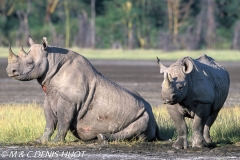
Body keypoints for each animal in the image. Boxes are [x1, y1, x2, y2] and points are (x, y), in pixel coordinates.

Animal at [6, 37, 163, 143]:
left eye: (30, 63)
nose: (9, 71)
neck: (51, 60)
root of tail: (154, 119)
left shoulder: (69, 101)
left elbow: (63, 121)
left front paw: (57, 142)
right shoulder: (49, 97)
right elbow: (49, 122)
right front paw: (40, 141)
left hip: (144, 115)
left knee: (137, 127)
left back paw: (102, 138)